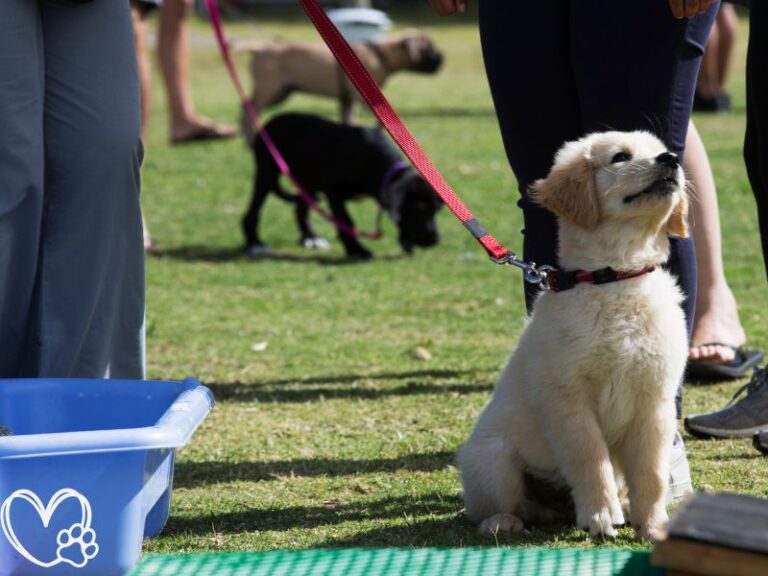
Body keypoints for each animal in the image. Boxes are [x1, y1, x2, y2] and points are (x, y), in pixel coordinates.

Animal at [243, 112, 440, 258]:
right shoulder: (334, 192)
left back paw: (311, 238)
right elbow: (345, 220)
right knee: (253, 212)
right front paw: (357, 250)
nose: (435, 240)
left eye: (436, 210)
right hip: (267, 172)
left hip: (309, 182)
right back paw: (255, 243)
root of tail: (270, 122)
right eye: (420, 209)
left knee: (300, 209)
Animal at [456, 130, 688, 540]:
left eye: (661, 149)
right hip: (492, 458)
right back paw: (503, 521)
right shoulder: (568, 399)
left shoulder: (655, 401)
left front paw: (653, 524)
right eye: (620, 157)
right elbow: (590, 459)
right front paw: (600, 515)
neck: (615, 279)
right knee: (498, 506)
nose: (671, 159)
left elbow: (652, 474)